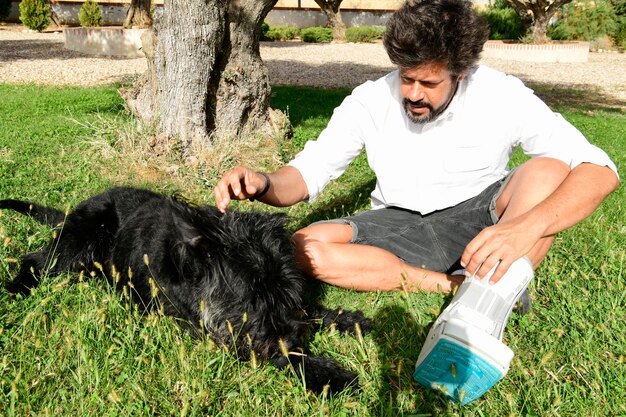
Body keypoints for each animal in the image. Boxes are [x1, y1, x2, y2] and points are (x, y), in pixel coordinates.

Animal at [1, 187, 370, 392]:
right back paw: (19, 287)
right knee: (35, 258)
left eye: (286, 293)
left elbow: (311, 311)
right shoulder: (220, 334)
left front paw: (348, 319)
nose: (291, 336)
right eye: (251, 299)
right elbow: (278, 354)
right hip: (77, 241)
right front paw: (329, 375)